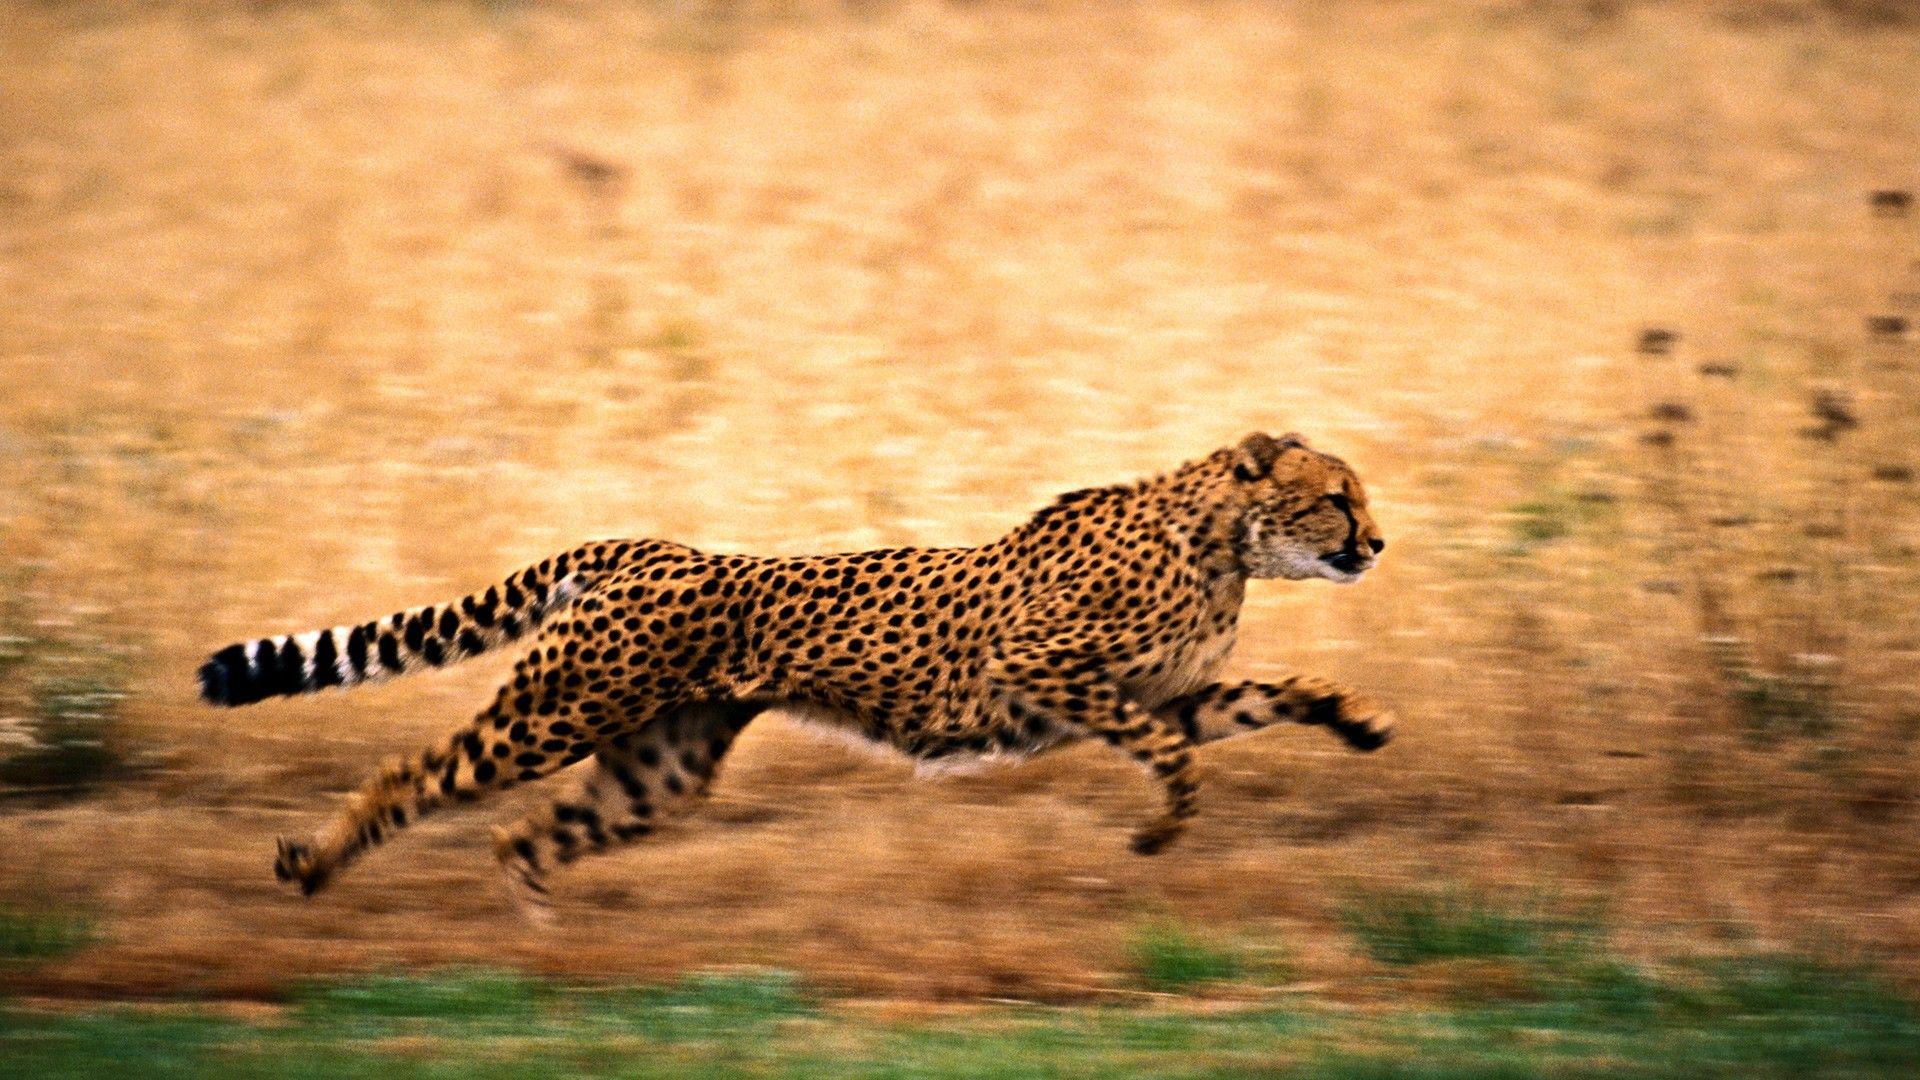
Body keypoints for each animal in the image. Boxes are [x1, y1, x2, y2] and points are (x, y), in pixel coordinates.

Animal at [199, 431, 1393, 920]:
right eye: (1337, 496)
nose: (1377, 543)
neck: (1223, 540)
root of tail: (646, 545)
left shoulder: (1169, 690)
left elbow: (1271, 695)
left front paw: (1361, 719)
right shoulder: (1041, 667)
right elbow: (1172, 758)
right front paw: (1159, 830)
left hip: (660, 765)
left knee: (522, 836)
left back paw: (547, 953)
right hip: (557, 711)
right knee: (415, 774)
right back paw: (315, 866)